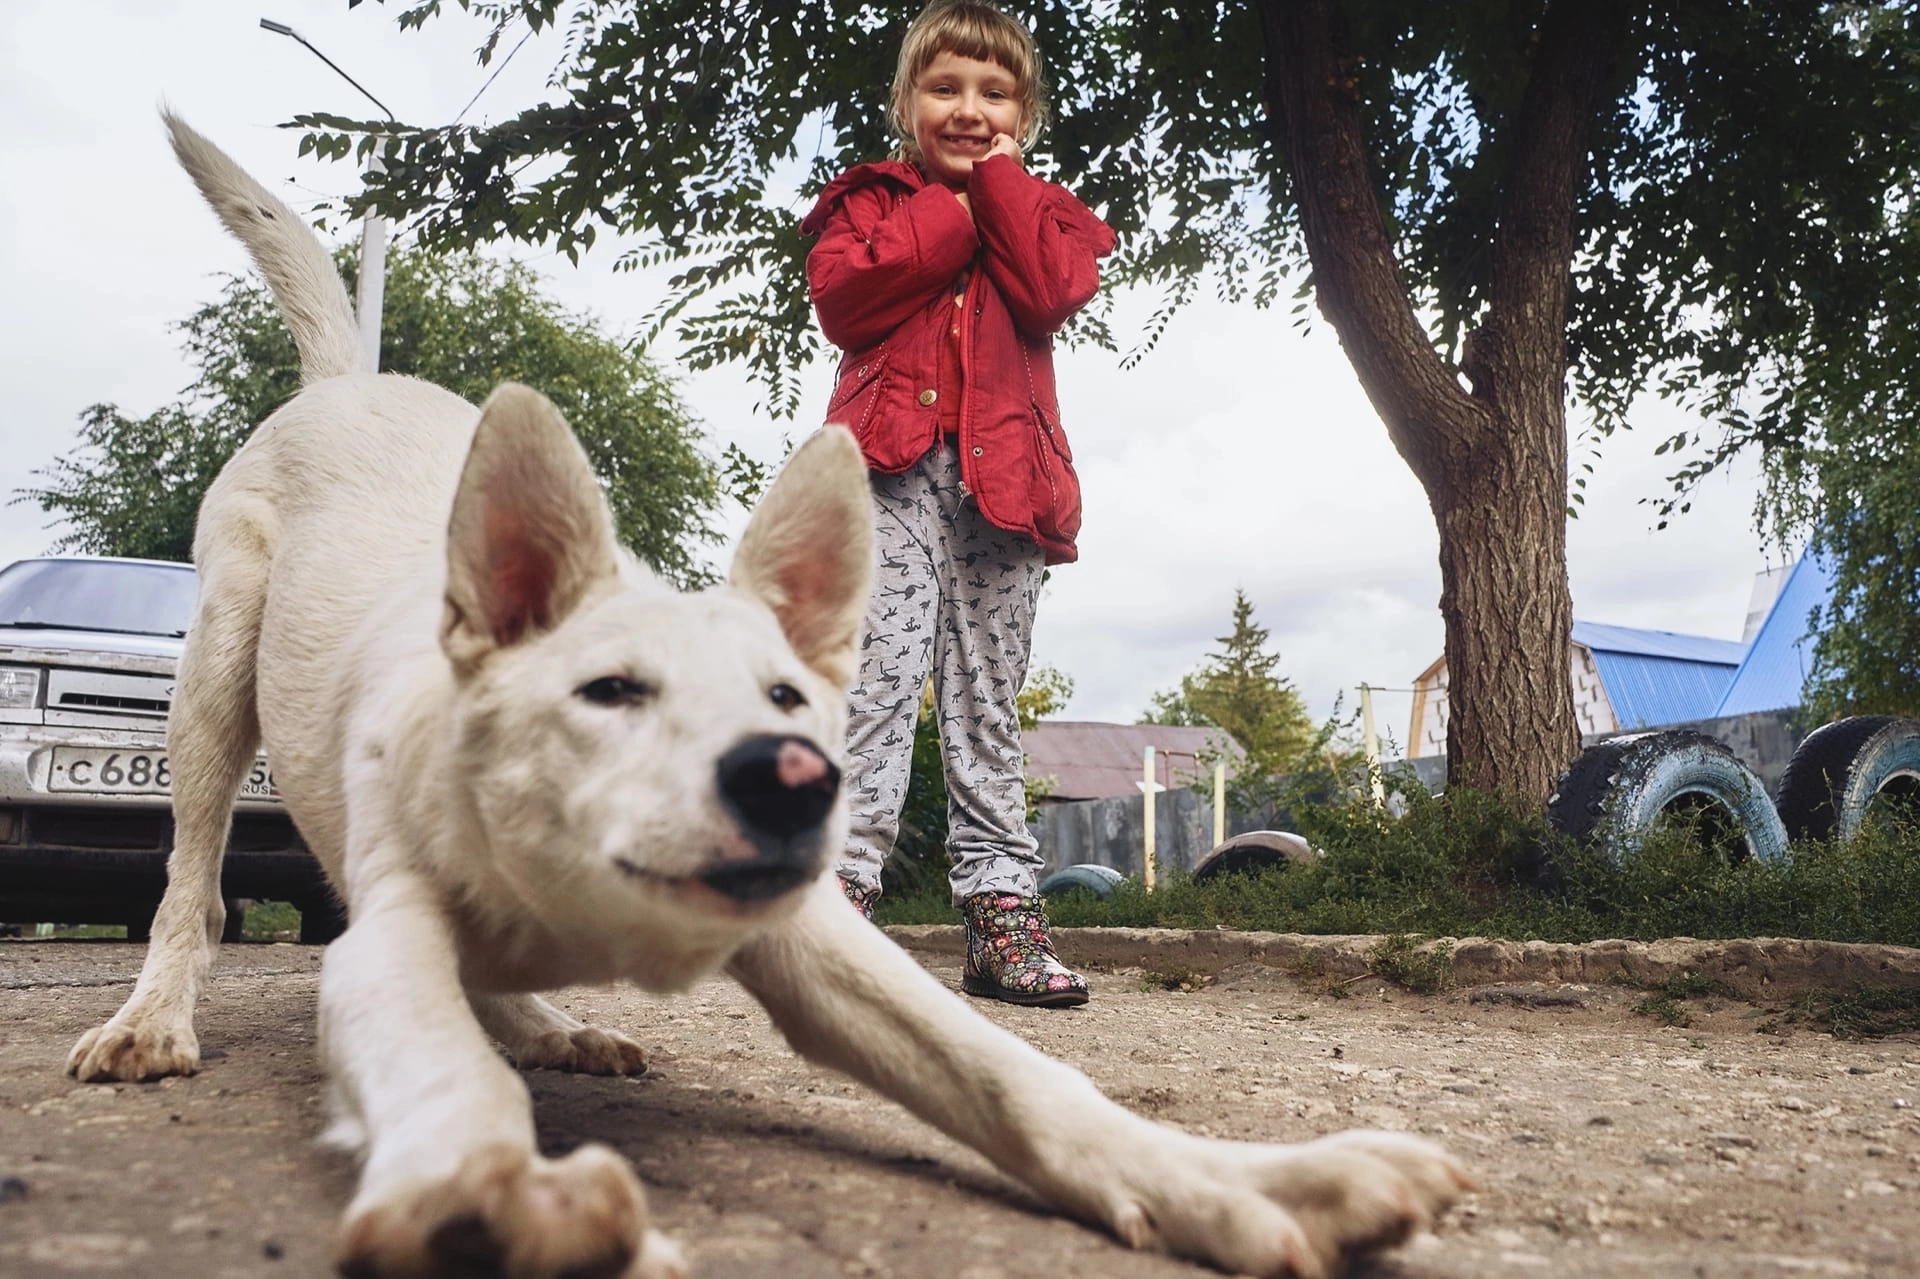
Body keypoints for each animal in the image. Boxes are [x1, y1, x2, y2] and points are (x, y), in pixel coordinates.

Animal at [63, 114, 1466, 1267]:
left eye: (791, 704)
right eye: (609, 691)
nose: (793, 783)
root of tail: (345, 383)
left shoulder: (822, 943)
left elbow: (1021, 1079)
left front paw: (1247, 1183)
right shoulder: (387, 942)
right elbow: (440, 1064)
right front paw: (494, 1192)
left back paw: (548, 1019)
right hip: (213, 686)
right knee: (189, 882)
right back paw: (155, 1019)